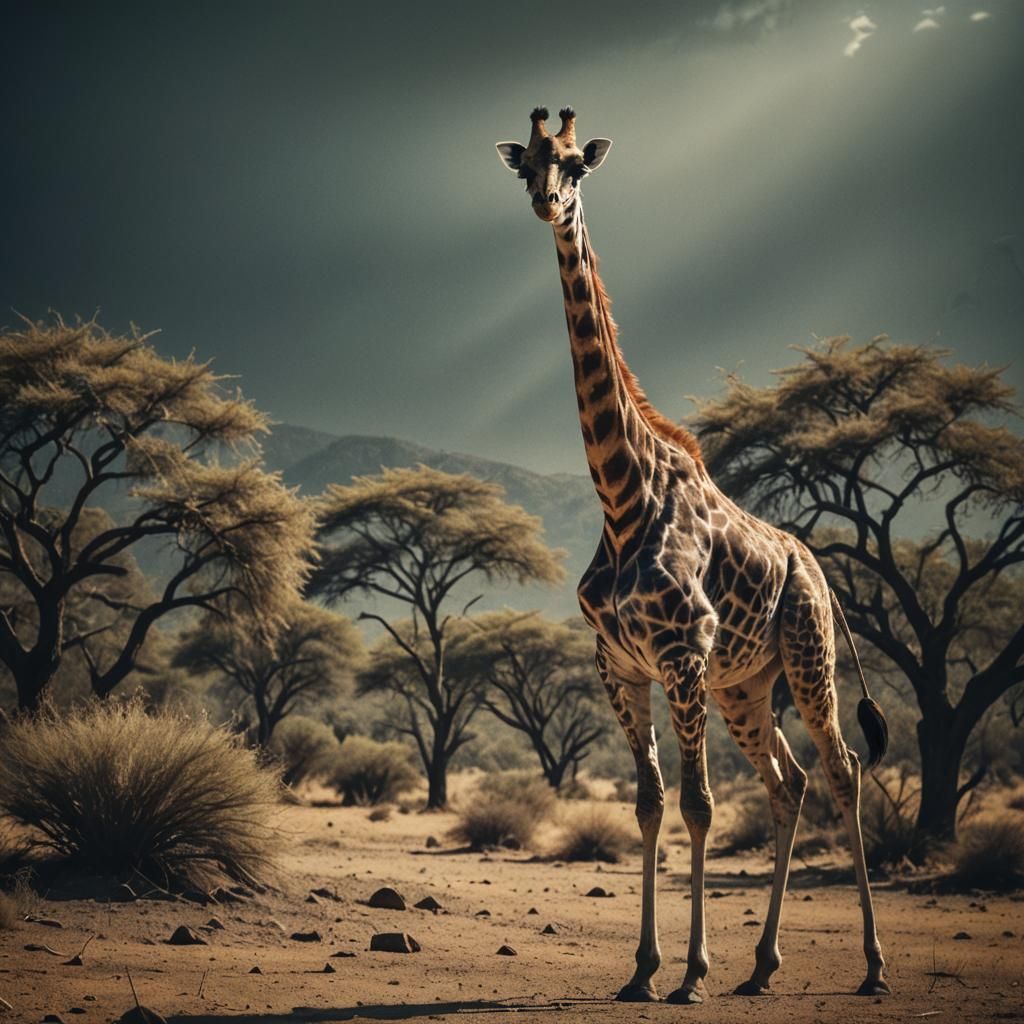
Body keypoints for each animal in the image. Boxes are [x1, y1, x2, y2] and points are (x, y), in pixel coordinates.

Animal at [496, 107, 890, 1004]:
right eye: (526, 163)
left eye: (575, 164)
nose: (546, 202)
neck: (621, 496)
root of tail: (820, 571)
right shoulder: (620, 664)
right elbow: (649, 805)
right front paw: (643, 969)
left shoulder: (683, 654)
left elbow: (700, 806)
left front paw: (690, 973)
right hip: (746, 686)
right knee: (790, 783)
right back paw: (764, 964)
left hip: (806, 657)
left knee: (843, 770)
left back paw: (872, 965)